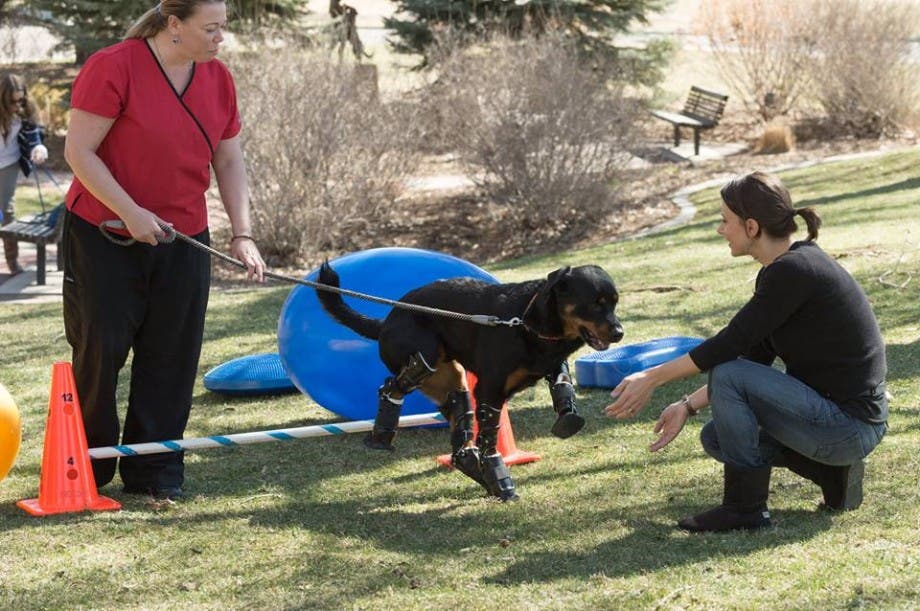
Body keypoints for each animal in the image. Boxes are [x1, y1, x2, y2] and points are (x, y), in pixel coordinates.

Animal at [316, 264, 624, 502]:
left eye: (614, 302)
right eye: (595, 303)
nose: (620, 332)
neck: (526, 323)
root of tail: (386, 321)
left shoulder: (551, 364)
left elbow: (563, 383)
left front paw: (567, 415)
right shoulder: (490, 391)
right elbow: (489, 439)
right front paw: (497, 473)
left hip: (452, 378)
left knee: (458, 418)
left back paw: (470, 466)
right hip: (423, 358)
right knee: (393, 385)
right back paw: (381, 434)